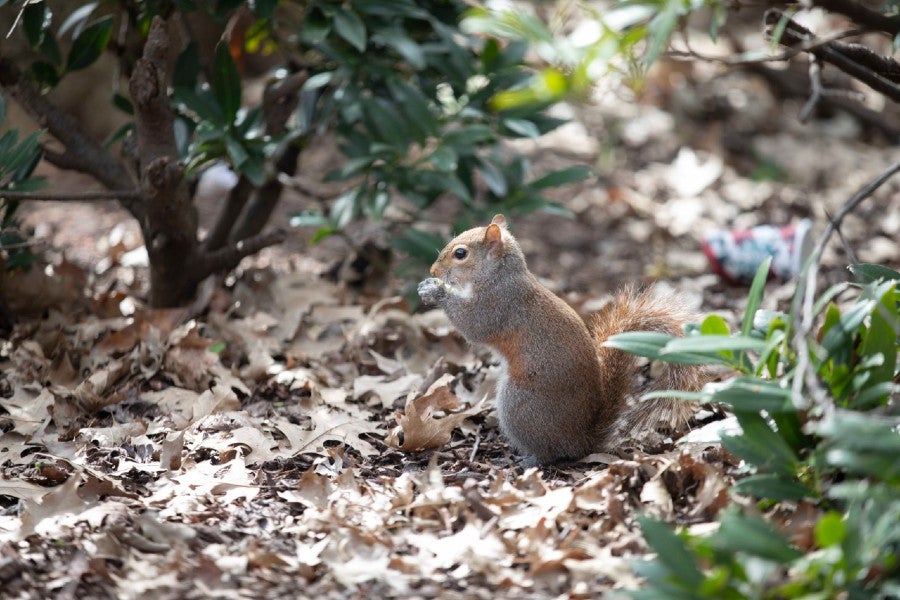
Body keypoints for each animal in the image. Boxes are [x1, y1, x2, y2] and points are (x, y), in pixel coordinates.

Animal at [418, 213, 708, 466]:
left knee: (551, 452)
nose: (433, 269)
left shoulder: (498, 305)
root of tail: (582, 440)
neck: (498, 276)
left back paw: (528, 459)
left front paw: (435, 291)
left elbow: (472, 326)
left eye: (460, 253)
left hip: (520, 404)